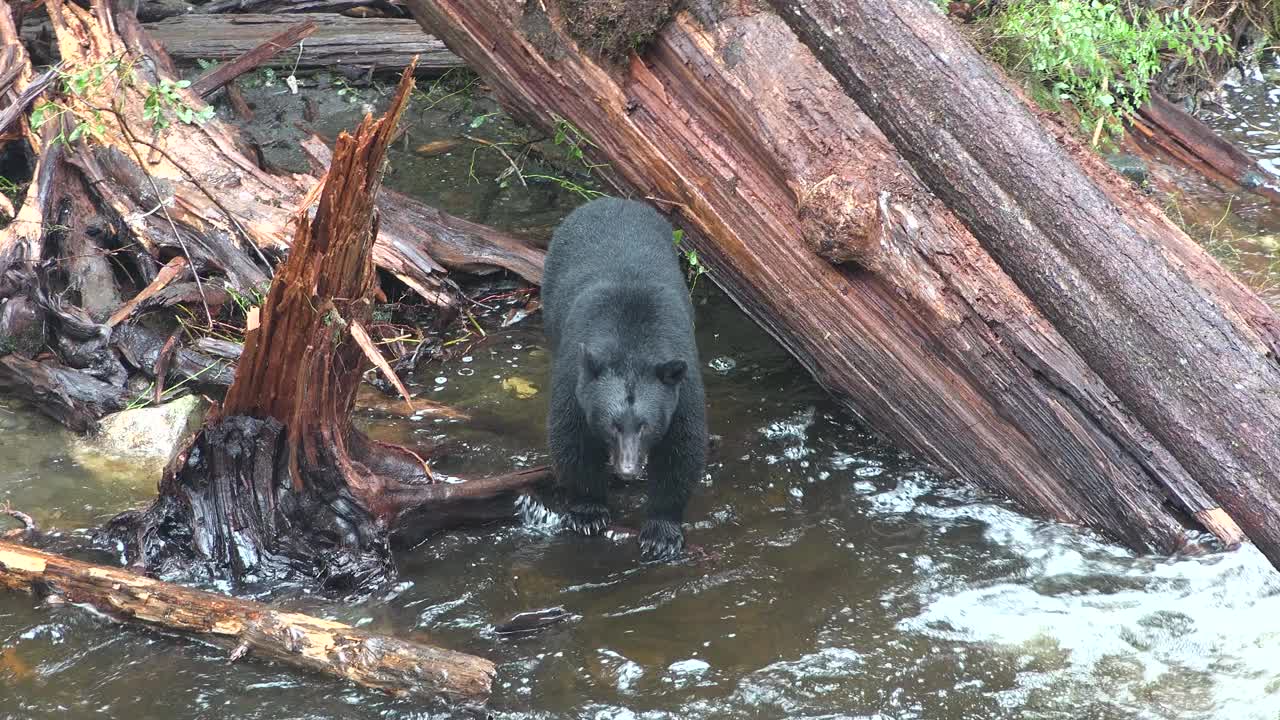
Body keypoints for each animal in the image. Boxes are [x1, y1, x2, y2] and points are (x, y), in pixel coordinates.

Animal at [542, 196, 711, 561]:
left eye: (646, 426)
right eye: (612, 425)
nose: (628, 469)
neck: (632, 348)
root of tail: (611, 200)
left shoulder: (681, 387)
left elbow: (682, 449)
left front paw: (661, 533)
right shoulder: (575, 378)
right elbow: (572, 439)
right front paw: (587, 512)